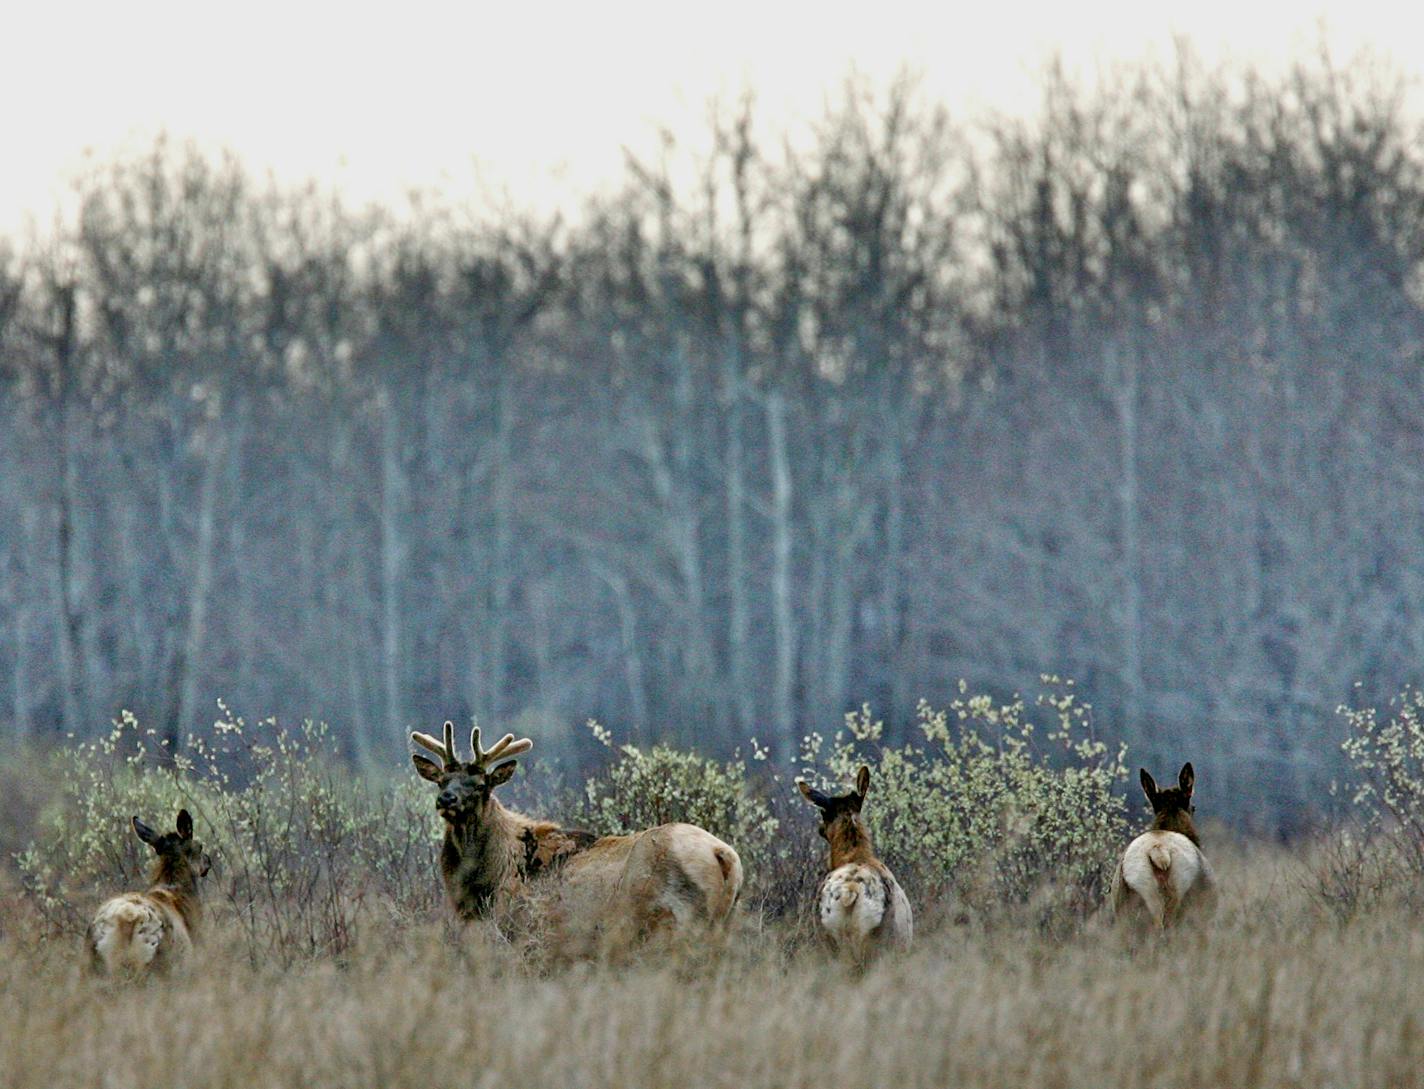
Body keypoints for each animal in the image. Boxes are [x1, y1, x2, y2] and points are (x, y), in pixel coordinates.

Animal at [412, 717, 746, 956]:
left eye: (481, 784)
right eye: (442, 780)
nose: (446, 799)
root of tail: (725, 856)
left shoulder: (528, 928)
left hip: (677, 921)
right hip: (722, 922)